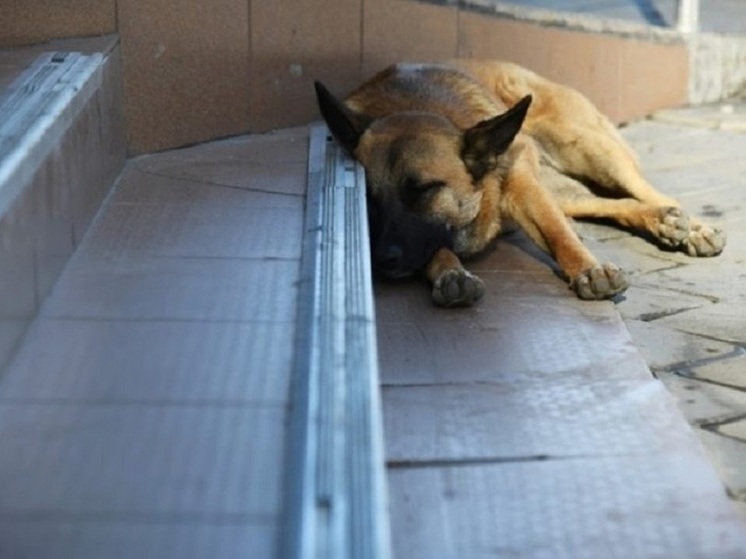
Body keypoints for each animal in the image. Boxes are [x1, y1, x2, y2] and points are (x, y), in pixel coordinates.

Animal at [312, 59, 720, 308]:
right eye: (368, 198)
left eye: (424, 190)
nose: (382, 259)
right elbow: (435, 248)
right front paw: (450, 273)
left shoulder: (522, 183)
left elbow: (555, 232)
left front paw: (588, 269)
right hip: (566, 186)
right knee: (609, 204)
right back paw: (660, 220)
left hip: (592, 150)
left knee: (646, 189)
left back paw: (692, 227)